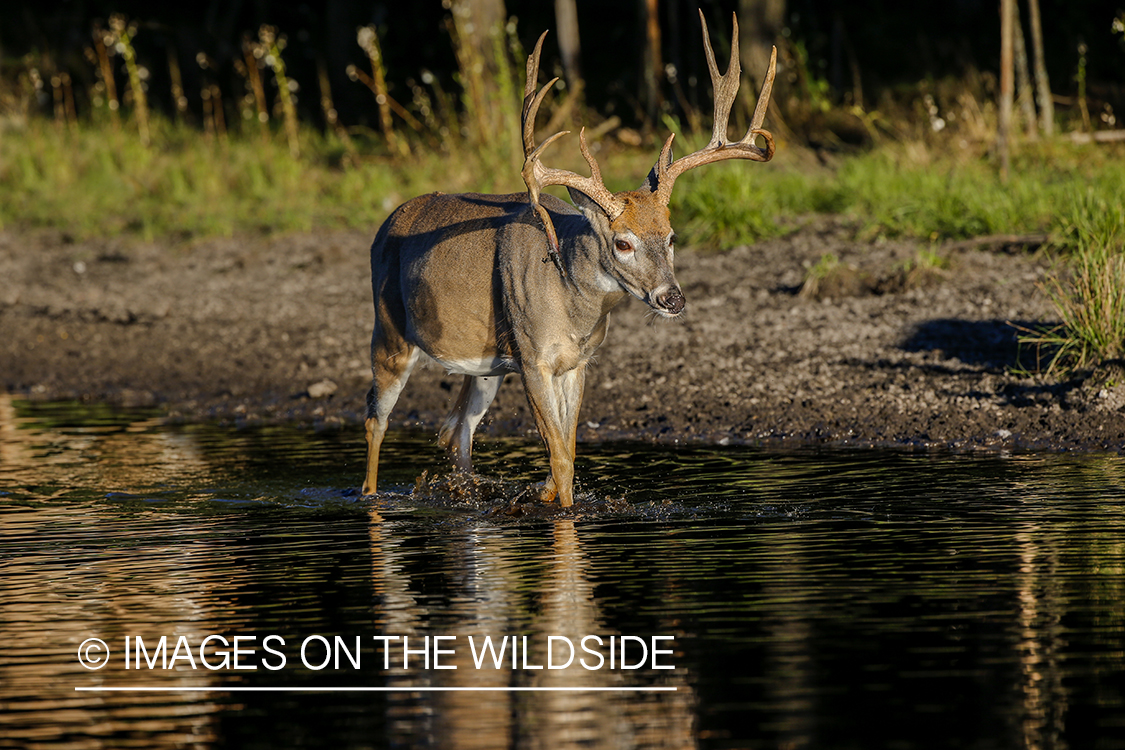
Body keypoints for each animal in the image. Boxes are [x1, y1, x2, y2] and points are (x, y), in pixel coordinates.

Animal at [364, 10, 778, 503]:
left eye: (673, 236)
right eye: (622, 242)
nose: (672, 298)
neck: (570, 303)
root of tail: (387, 222)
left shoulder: (576, 363)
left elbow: (570, 451)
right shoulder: (532, 359)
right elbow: (559, 459)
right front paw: (564, 511)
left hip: (483, 366)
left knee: (456, 430)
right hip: (390, 332)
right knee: (376, 419)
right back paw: (369, 497)